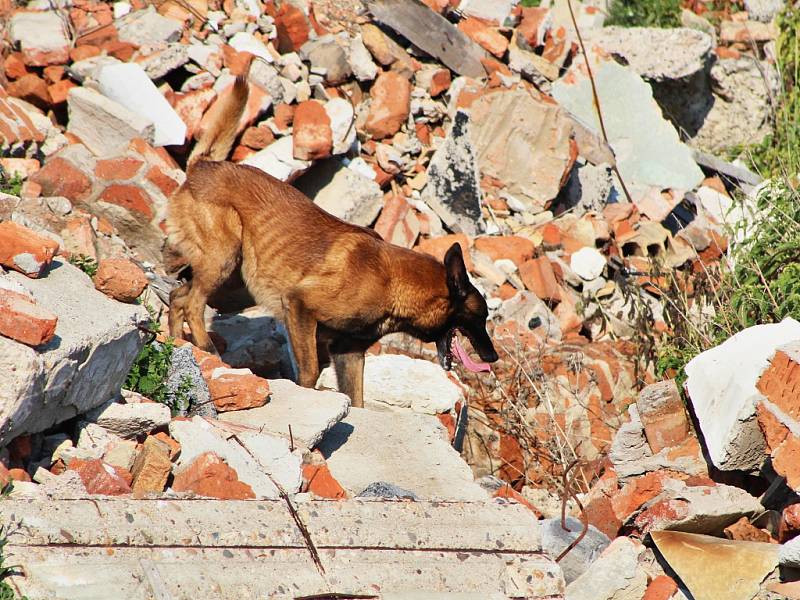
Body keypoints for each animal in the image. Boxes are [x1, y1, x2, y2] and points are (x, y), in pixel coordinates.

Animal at [166, 70, 496, 408]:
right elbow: (310, 373)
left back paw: (179, 342)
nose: (492, 357)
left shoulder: (348, 352)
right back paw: (206, 347)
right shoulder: (299, 305)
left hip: (237, 284)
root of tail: (203, 166)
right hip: (226, 257)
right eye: (480, 316)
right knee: (193, 303)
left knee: (178, 297)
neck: (393, 282)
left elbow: (357, 398)